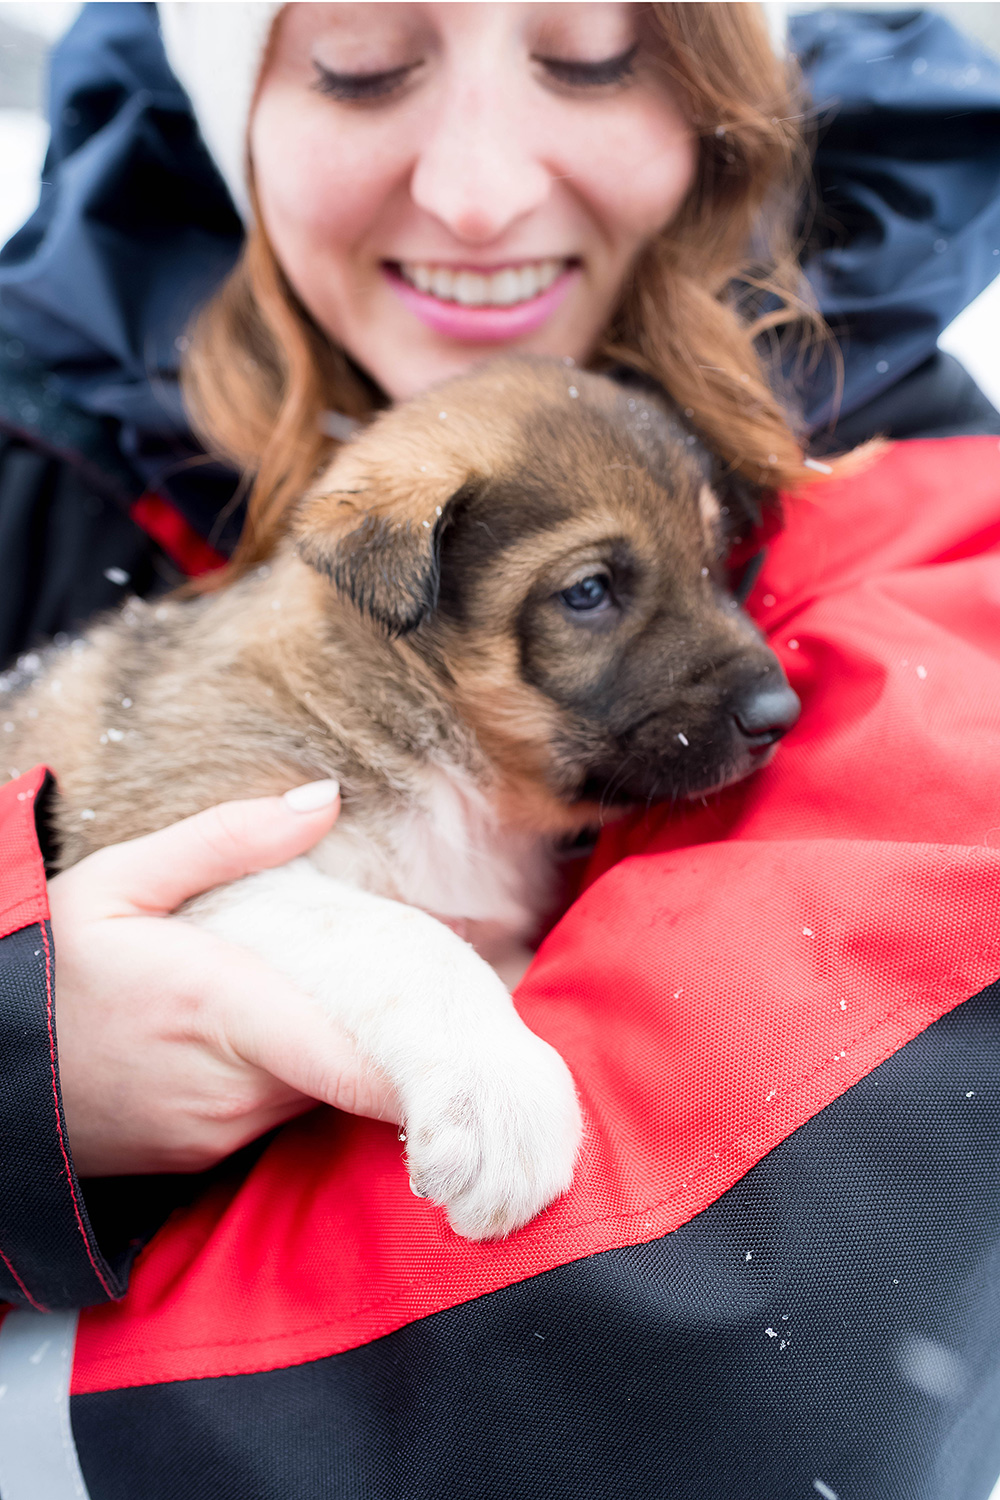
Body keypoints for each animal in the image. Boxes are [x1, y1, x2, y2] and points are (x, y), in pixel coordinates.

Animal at [0, 357, 797, 1236]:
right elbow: (407, 935)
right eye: (590, 591)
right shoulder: (203, 832)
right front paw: (502, 1098)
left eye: (714, 562)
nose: (782, 713)